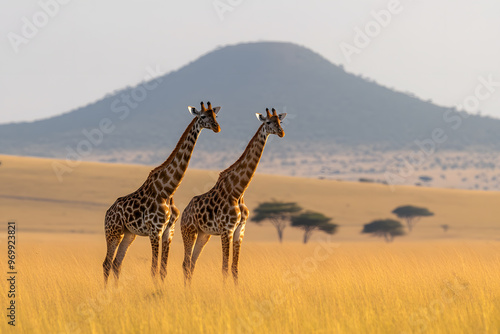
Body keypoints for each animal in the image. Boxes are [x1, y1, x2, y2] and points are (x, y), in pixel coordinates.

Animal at [103, 101, 221, 284]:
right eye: (202, 116)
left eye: (215, 115)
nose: (217, 127)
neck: (168, 190)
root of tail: (107, 214)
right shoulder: (155, 230)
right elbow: (153, 269)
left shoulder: (168, 231)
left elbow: (163, 270)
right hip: (113, 232)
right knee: (107, 264)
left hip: (129, 234)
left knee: (116, 263)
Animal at [182, 107, 288, 284]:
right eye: (268, 122)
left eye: (280, 121)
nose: (281, 132)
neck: (238, 191)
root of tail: (183, 212)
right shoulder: (227, 229)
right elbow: (224, 267)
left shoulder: (240, 229)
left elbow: (234, 267)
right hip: (189, 231)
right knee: (185, 263)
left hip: (204, 235)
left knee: (192, 263)